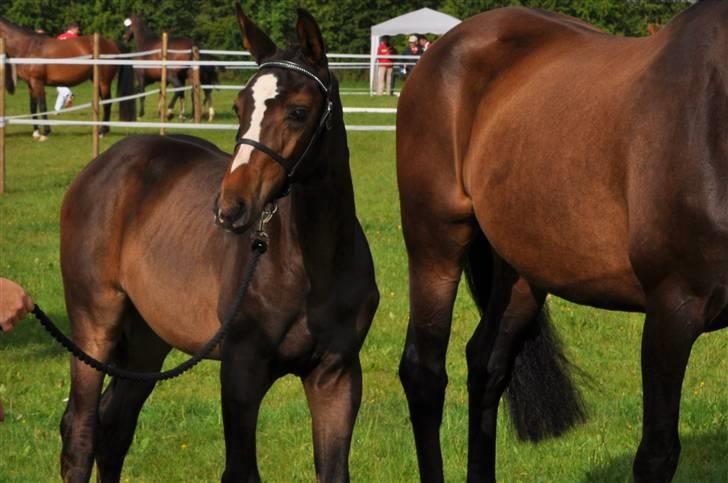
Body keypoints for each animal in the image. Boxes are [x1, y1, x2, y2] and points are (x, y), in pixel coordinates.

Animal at [0, 16, 135, 140]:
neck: (29, 47)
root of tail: (111, 43)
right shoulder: (30, 84)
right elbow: (33, 107)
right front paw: (36, 133)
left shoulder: (37, 82)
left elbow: (42, 106)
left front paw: (45, 133)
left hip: (104, 82)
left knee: (108, 103)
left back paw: (102, 132)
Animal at [59, 6, 378, 483]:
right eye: (239, 106)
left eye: (299, 111)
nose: (231, 206)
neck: (314, 265)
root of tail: (101, 167)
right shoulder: (241, 373)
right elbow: (240, 471)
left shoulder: (336, 376)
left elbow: (334, 470)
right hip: (93, 326)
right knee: (81, 432)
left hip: (146, 342)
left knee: (114, 427)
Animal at [398, 1, 728, 482]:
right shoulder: (673, 309)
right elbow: (657, 454)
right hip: (435, 241)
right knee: (424, 374)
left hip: (522, 271)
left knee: (486, 365)